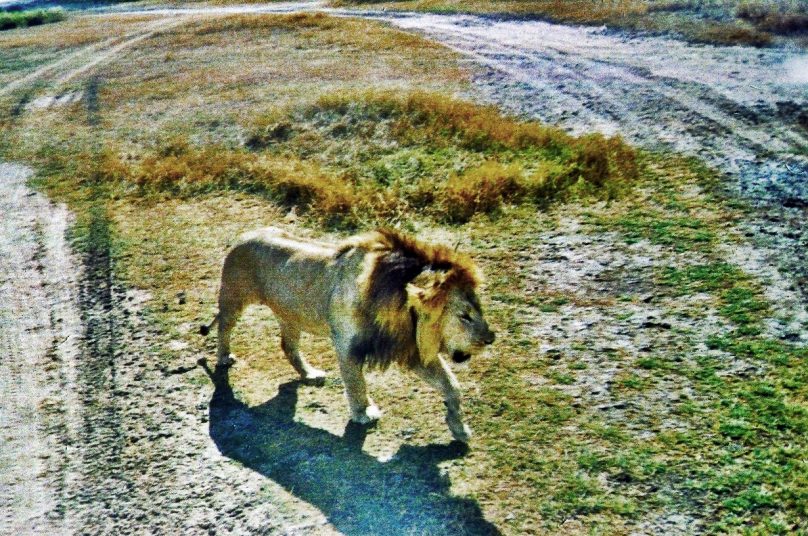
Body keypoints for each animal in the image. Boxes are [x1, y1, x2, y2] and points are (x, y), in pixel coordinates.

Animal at [199, 226, 496, 440]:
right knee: (224, 328)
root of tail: (244, 235)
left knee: (288, 345)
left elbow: (451, 386)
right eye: (464, 316)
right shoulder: (347, 345)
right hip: (233, 298)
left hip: (290, 315)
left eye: (478, 310)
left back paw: (310, 374)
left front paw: (459, 428)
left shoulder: (410, 347)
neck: (397, 307)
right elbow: (356, 382)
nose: (490, 339)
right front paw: (363, 413)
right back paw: (224, 358)